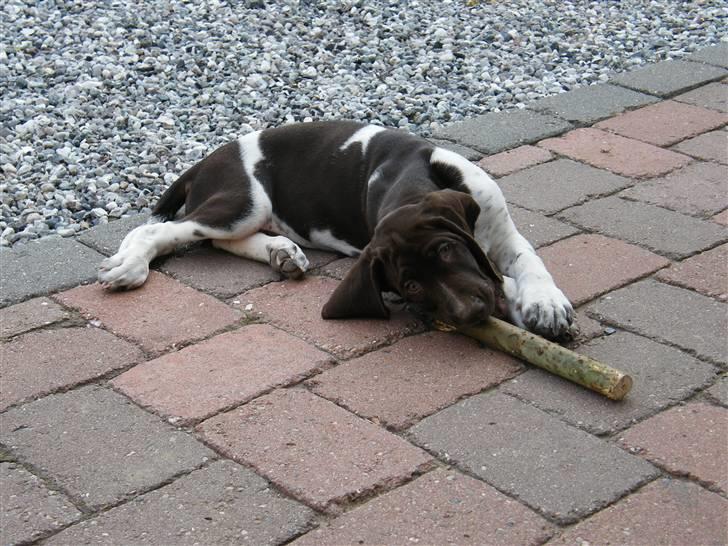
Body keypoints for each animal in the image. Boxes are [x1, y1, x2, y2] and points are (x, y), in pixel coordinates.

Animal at [98, 121, 576, 338]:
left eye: (445, 250)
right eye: (409, 286)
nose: (471, 313)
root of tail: (203, 162)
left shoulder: (500, 228)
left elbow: (529, 262)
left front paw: (545, 302)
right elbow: (503, 278)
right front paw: (518, 299)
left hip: (248, 211)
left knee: (217, 240)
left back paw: (282, 253)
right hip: (243, 202)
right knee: (157, 232)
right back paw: (129, 267)